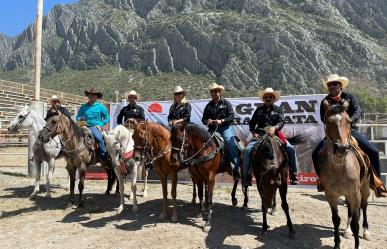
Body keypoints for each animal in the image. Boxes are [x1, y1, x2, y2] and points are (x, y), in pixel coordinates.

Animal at [320, 100, 372, 249]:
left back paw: (366, 231)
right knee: (349, 208)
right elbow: (336, 219)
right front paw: (337, 244)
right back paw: (347, 231)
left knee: (364, 207)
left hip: (364, 190)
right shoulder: (331, 196)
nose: (342, 147)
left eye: (348, 121)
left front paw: (357, 245)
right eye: (328, 121)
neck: (339, 169)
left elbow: (356, 223)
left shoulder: (355, 194)